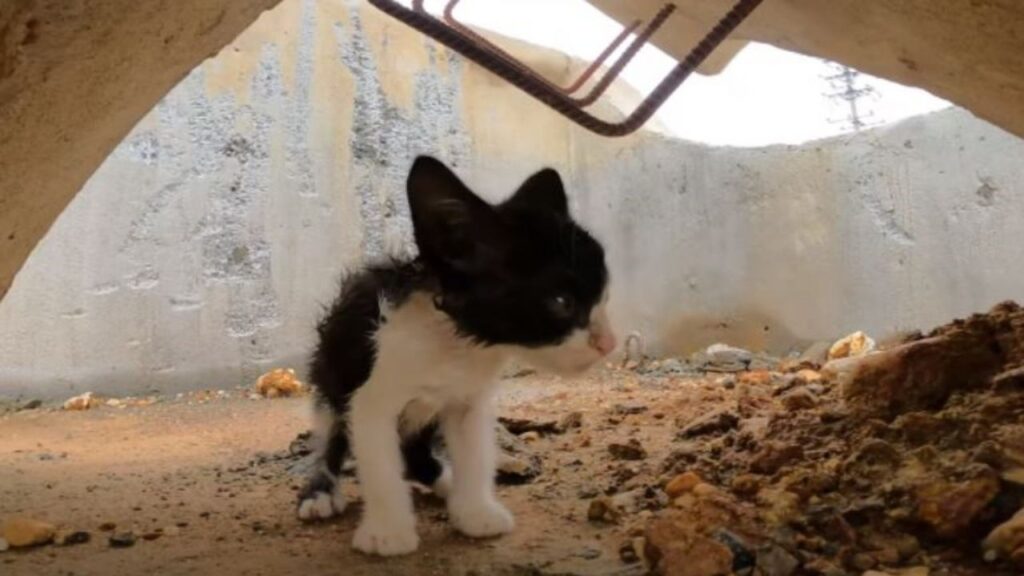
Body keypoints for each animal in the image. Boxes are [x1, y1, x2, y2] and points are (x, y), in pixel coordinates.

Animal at [296, 156, 614, 557]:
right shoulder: (371, 399)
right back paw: (320, 491)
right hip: (332, 370)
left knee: (413, 451)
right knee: (333, 434)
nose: (608, 343)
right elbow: (380, 464)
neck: (454, 346)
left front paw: (476, 513)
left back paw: (444, 481)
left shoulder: (468, 401)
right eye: (561, 302)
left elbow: (475, 454)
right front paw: (388, 531)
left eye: (603, 294)